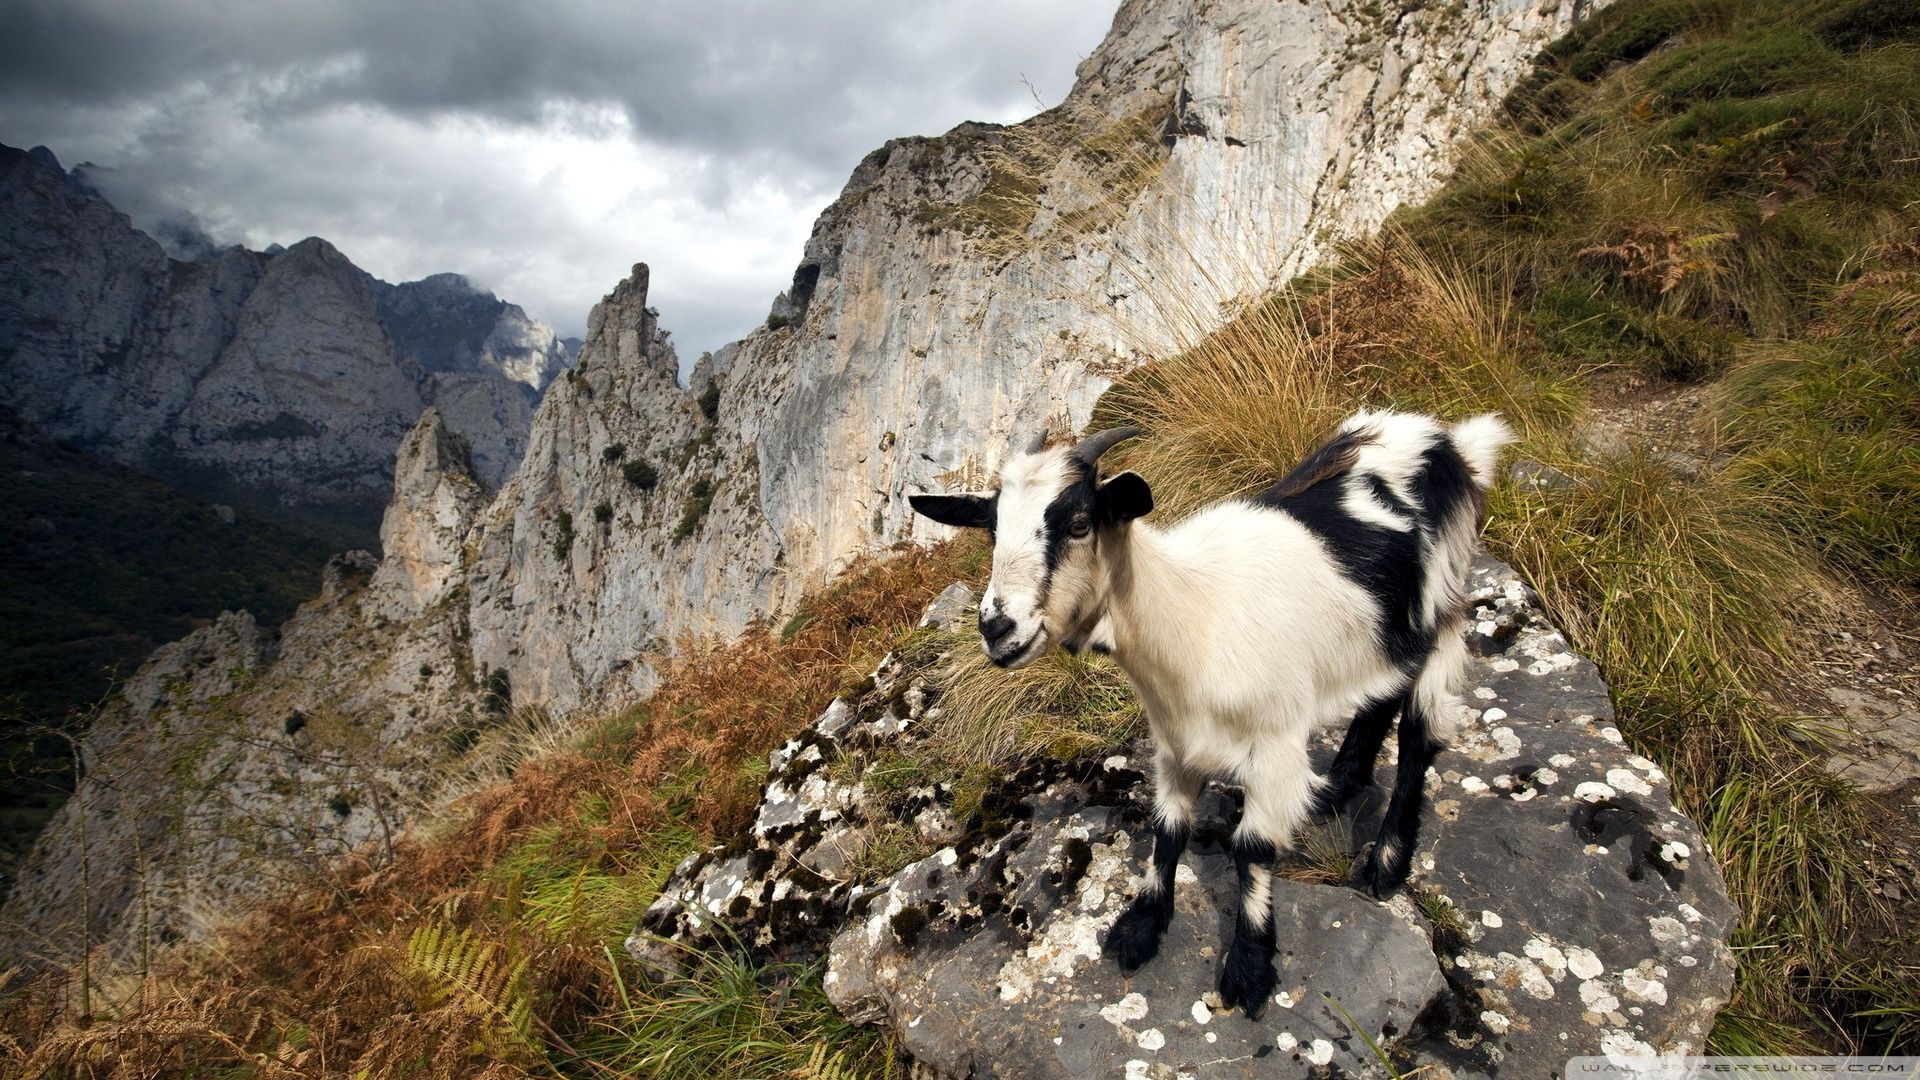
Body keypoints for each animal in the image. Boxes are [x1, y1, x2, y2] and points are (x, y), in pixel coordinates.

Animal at [910, 409, 1513, 1017]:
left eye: (1080, 523)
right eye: (991, 529)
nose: (996, 627)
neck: (1192, 615)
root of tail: (1444, 438)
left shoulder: (1275, 742)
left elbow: (1253, 849)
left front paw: (1249, 966)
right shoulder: (1175, 741)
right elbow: (1168, 828)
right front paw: (1141, 927)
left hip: (1444, 604)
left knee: (1419, 734)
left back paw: (1387, 862)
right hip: (1384, 632)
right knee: (1382, 695)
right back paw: (1336, 788)